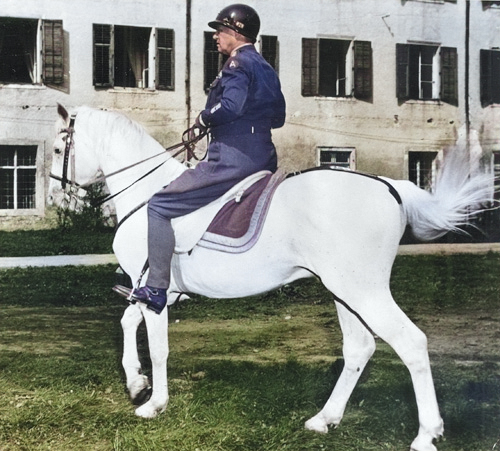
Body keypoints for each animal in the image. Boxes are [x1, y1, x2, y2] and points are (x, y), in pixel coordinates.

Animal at [48, 105, 494, 451]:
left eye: (55, 149)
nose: (54, 196)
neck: (148, 196)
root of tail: (389, 187)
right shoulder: (155, 291)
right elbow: (127, 323)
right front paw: (135, 382)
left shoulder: (156, 292)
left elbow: (157, 348)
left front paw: (153, 404)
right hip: (344, 292)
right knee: (359, 348)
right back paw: (324, 418)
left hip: (363, 292)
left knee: (411, 344)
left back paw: (426, 434)